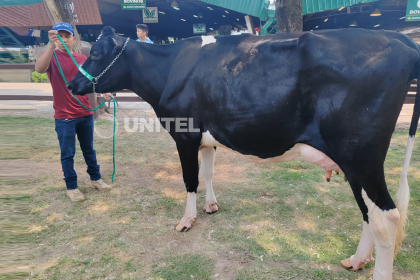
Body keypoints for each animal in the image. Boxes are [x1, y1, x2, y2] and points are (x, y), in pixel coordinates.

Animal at [67, 26, 418, 280]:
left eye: (94, 52)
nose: (71, 85)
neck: (168, 68)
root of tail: (399, 39)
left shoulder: (184, 134)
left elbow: (190, 179)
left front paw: (186, 220)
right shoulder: (206, 139)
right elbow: (208, 172)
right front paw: (211, 206)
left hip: (361, 156)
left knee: (386, 216)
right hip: (354, 163)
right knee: (368, 211)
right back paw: (356, 260)